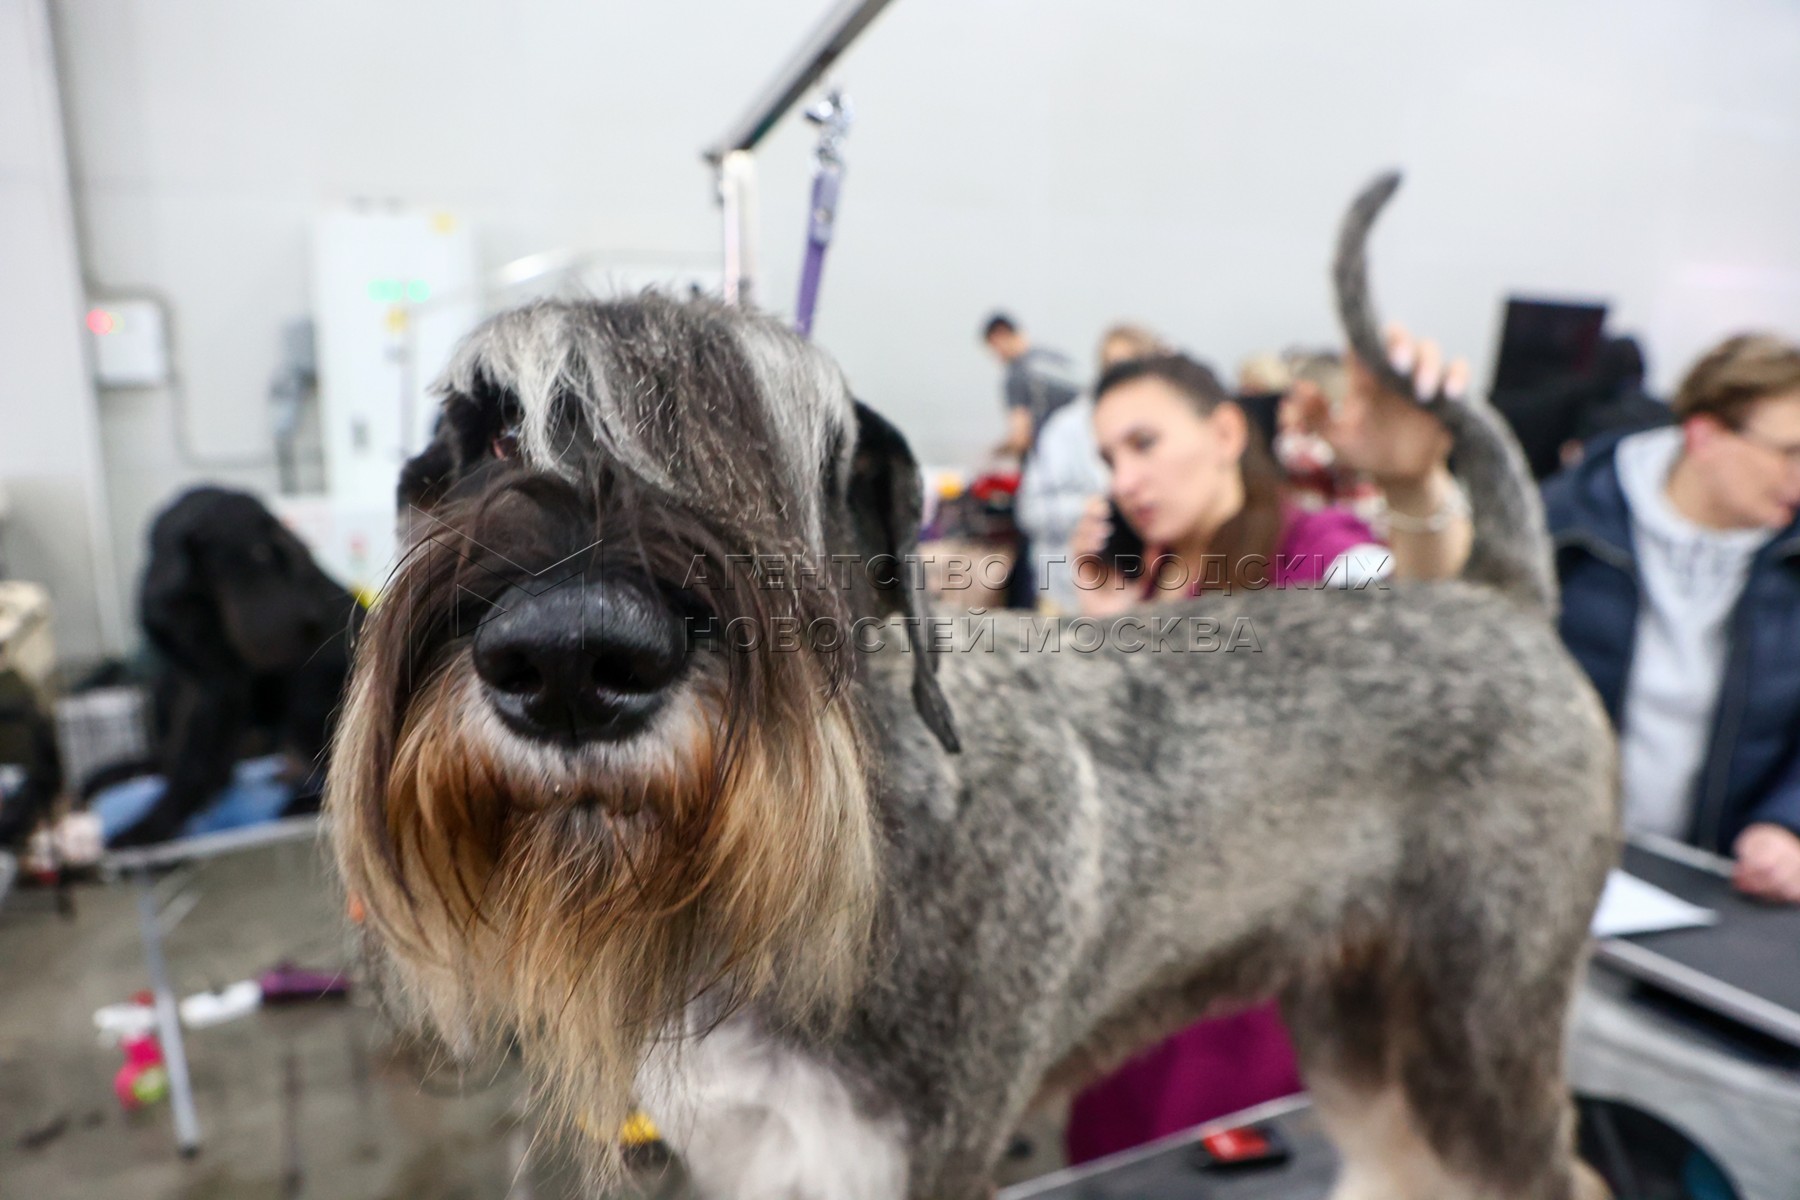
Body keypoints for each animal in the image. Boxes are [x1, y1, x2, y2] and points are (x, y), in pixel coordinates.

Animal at [118, 486, 361, 846]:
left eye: (275, 551)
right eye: (259, 552)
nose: (312, 620)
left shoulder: (222, 686)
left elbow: (197, 762)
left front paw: (150, 828)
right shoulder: (192, 677)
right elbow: (185, 746)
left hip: (306, 705)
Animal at [329, 180, 1618, 1199]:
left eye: (761, 451)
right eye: (486, 443)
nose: (568, 661)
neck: (872, 835)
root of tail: (1502, 597)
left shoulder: (911, 1159)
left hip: (1479, 1029)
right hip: (1355, 1023)